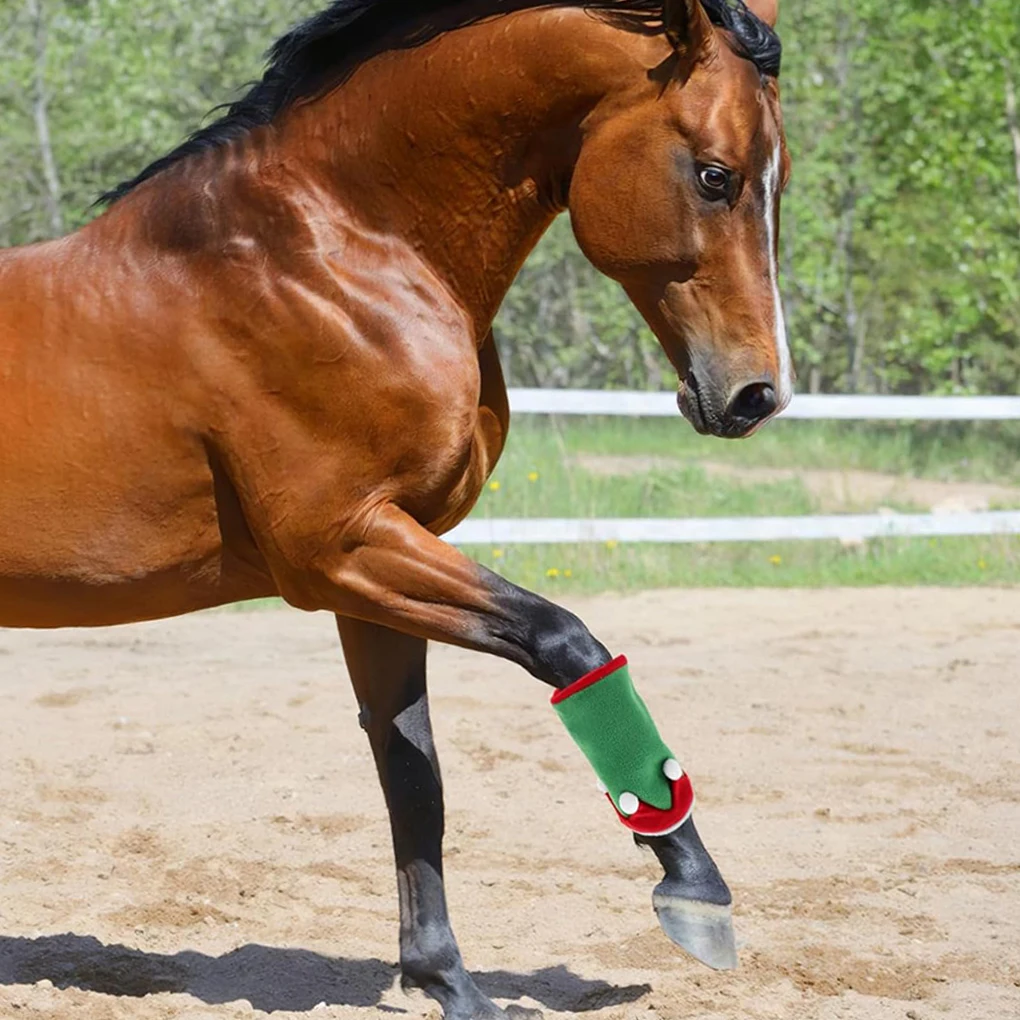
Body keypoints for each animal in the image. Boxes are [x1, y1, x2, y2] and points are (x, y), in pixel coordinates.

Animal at [0, 1, 790, 1016]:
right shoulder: (341, 549)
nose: (757, 395)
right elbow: (565, 643)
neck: (336, 258)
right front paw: (696, 890)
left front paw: (447, 980)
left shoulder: (376, 569)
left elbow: (413, 775)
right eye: (715, 174)